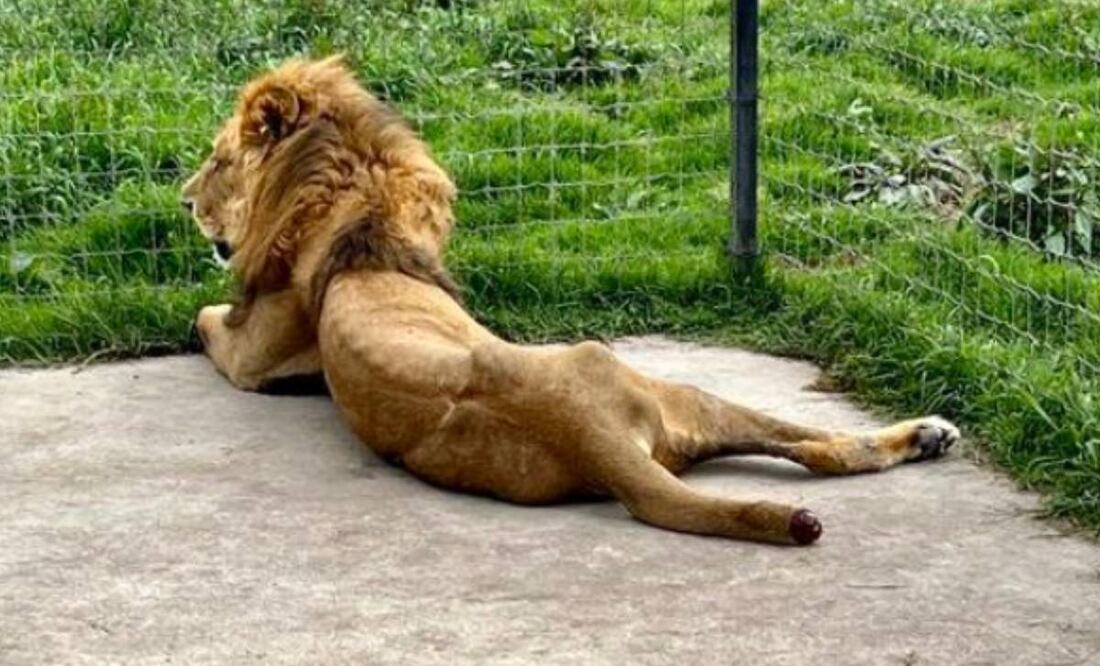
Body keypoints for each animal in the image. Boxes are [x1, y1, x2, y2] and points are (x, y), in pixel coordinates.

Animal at [181, 56, 959, 545]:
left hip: (655, 383)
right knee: (825, 450)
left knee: (820, 446)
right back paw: (927, 435)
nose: (184, 200)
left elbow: (202, 316)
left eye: (218, 162)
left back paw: (928, 434)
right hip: (685, 404)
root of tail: (592, 436)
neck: (354, 192)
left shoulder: (255, 356)